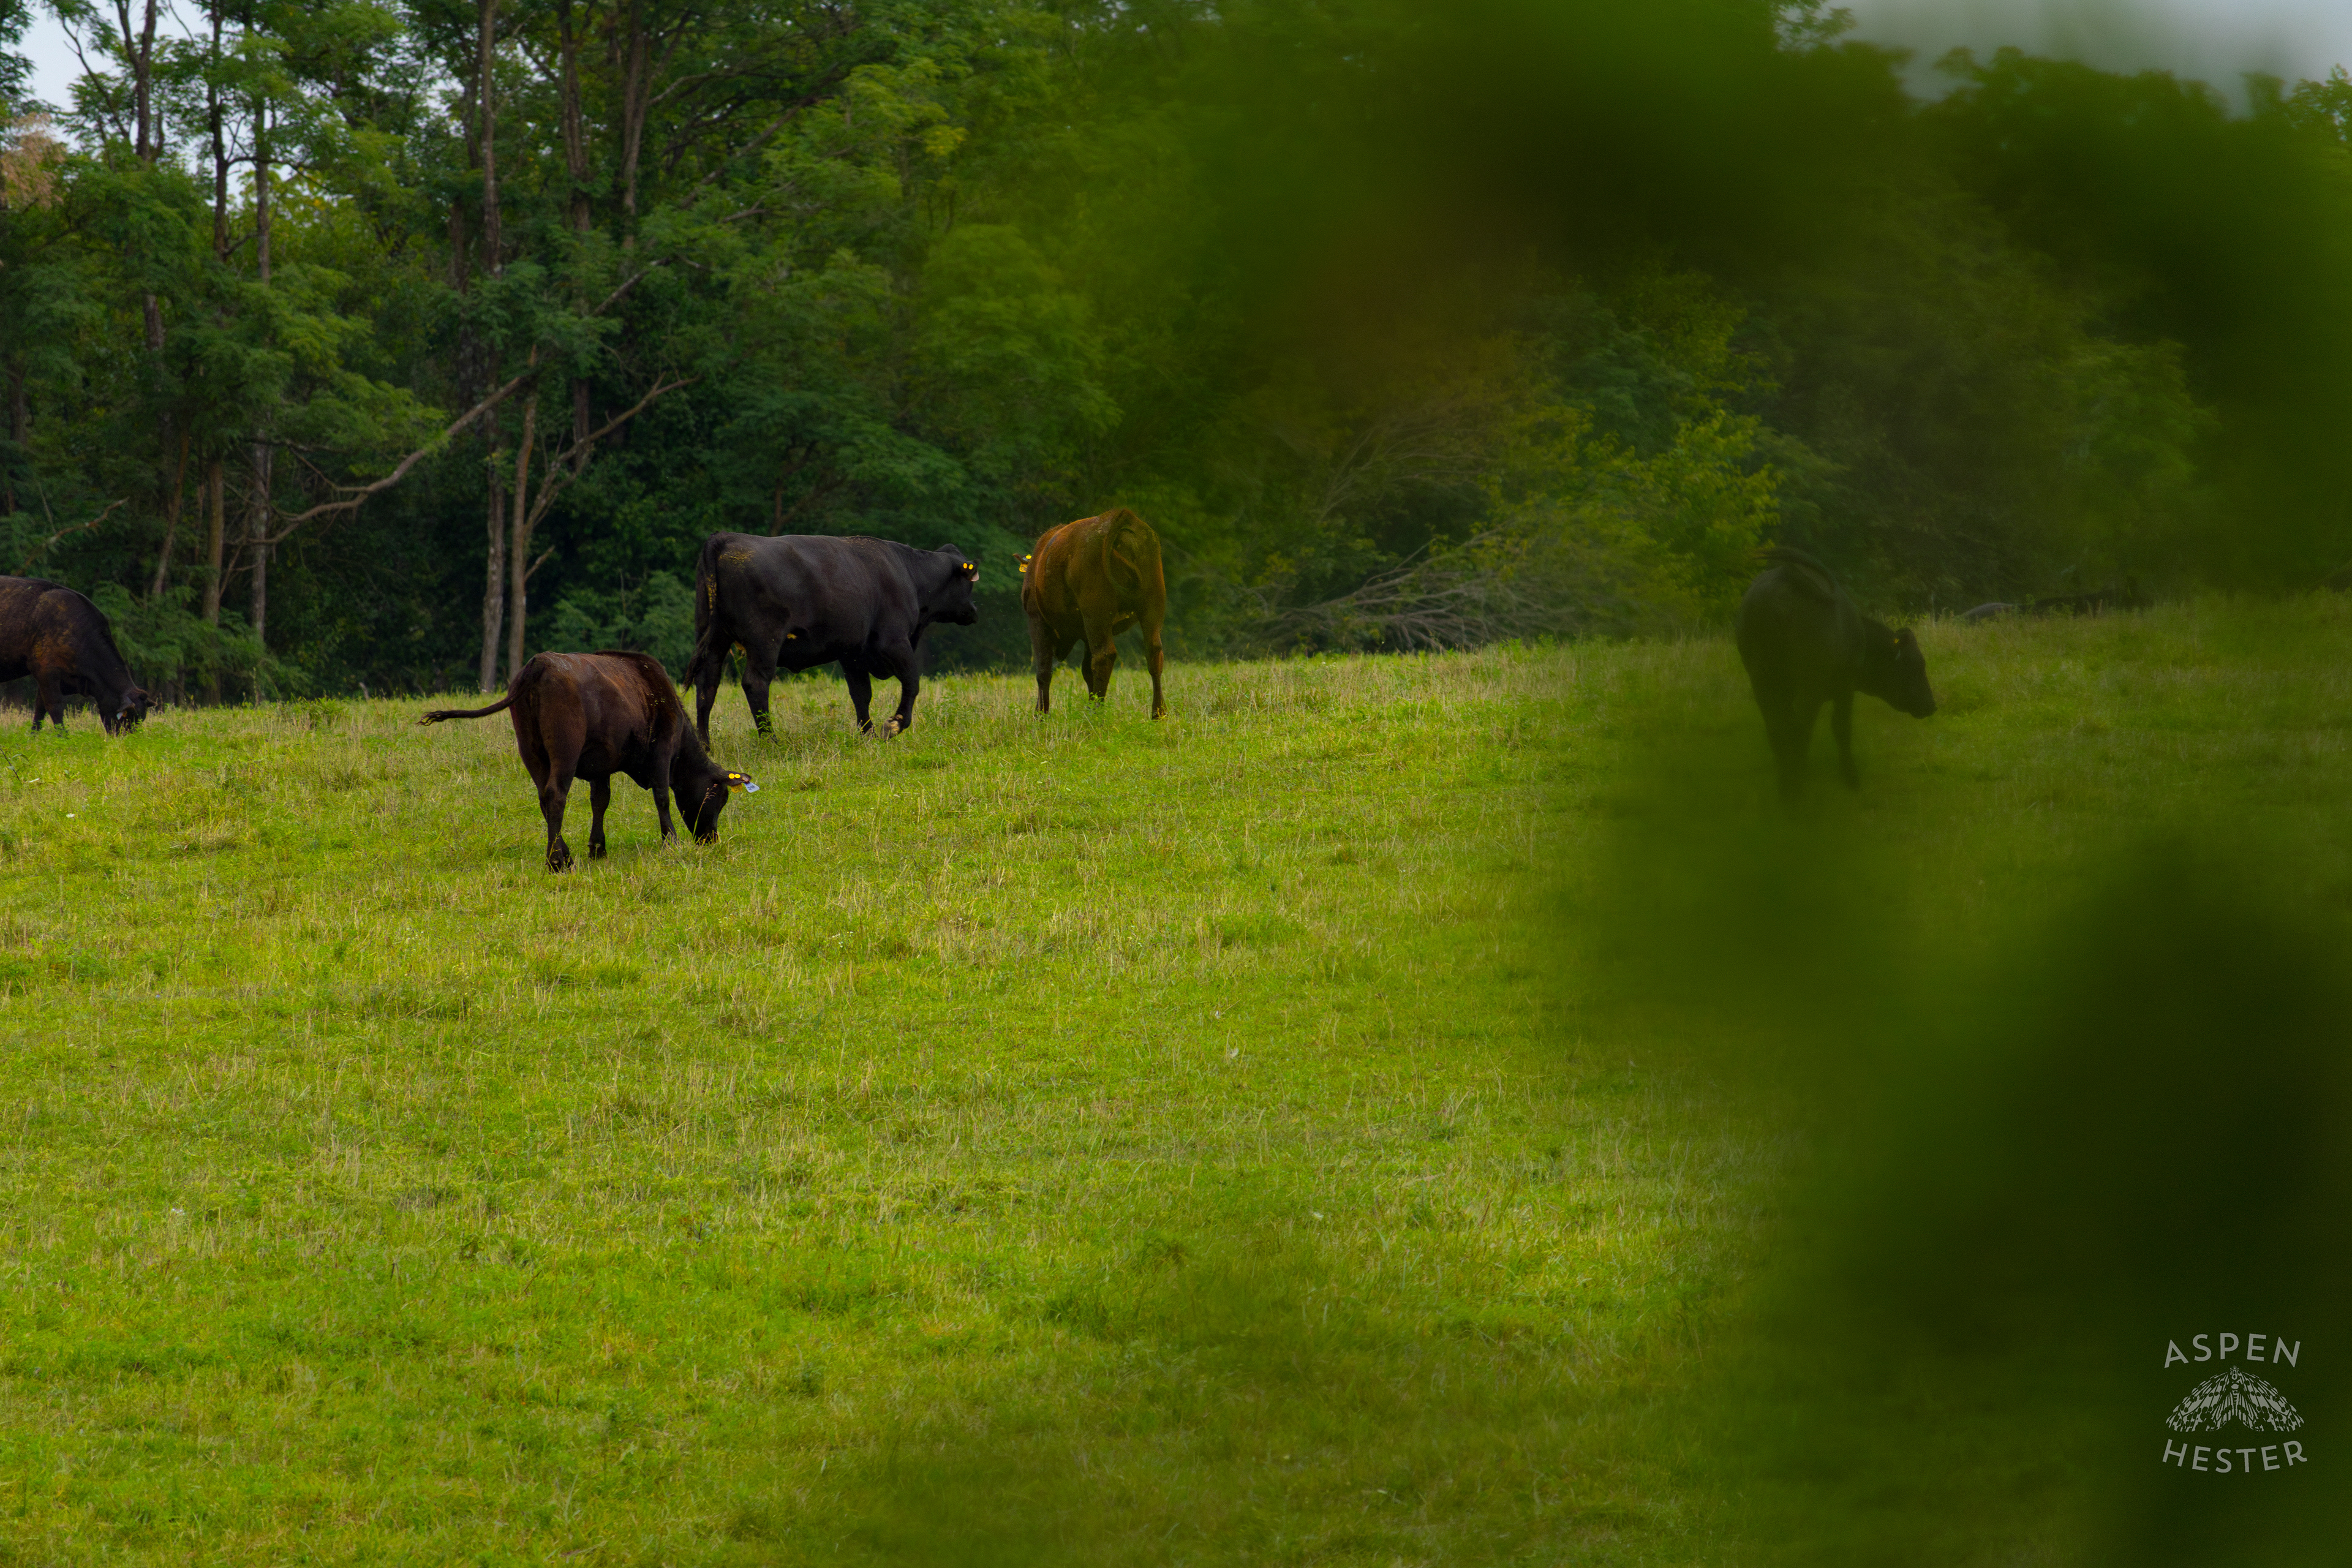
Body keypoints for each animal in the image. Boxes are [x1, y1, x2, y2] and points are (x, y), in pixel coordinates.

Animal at [0, 575, 151, 734]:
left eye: (139, 720)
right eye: (127, 719)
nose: (127, 738)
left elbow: (40, 708)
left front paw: (34, 736)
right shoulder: (45, 671)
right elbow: (54, 706)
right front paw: (63, 737)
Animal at [420, 651, 756, 872]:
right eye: (720, 797)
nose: (711, 839)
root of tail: (541, 662)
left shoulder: (600, 764)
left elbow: (600, 801)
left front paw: (597, 848)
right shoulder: (662, 751)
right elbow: (662, 797)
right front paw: (670, 841)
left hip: (531, 750)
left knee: (544, 797)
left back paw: (563, 854)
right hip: (565, 748)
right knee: (556, 795)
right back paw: (557, 861)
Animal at [683, 533, 979, 746]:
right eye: (970, 582)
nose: (975, 611)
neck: (907, 573)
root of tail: (727, 538)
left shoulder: (853, 653)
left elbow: (861, 694)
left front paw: (868, 736)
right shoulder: (894, 641)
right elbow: (912, 682)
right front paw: (894, 725)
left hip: (715, 639)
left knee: (707, 685)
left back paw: (705, 745)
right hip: (764, 641)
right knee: (755, 684)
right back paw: (771, 741)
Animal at [1019, 508, 1167, 718]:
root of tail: (1119, 515)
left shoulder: (1037, 620)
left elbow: (1043, 671)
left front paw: (1040, 715)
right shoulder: (1086, 633)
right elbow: (1086, 670)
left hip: (1096, 614)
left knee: (1104, 656)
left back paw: (1096, 714)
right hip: (1152, 606)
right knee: (1153, 652)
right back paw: (1158, 713)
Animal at [1735, 547, 1935, 802]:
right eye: (1916, 666)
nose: (1931, 704)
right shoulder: (1845, 689)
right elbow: (1841, 728)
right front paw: (1851, 777)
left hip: (1762, 679)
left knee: (1779, 731)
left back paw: (1789, 784)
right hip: (1808, 687)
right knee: (1799, 731)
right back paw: (1794, 791)